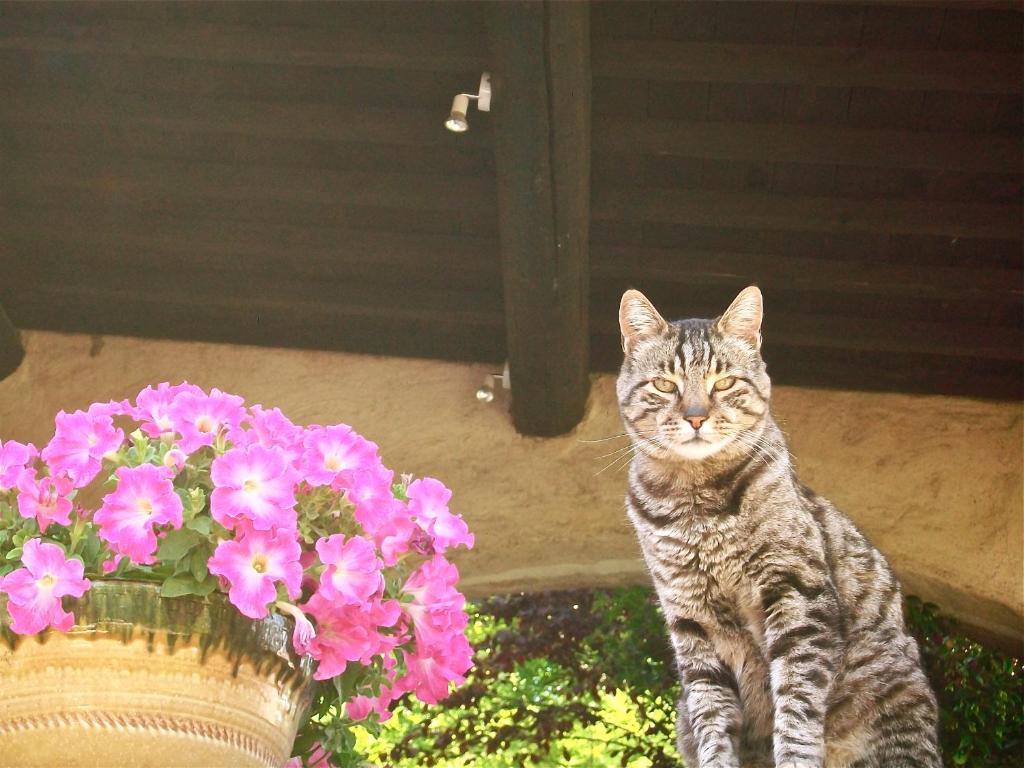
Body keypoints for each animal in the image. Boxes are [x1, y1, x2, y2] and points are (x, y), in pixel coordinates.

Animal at [614, 288, 942, 768]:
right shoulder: (692, 623)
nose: (695, 417)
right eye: (664, 385)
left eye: (724, 383)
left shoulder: (797, 594)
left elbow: (797, 704)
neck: (697, 503)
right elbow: (712, 719)